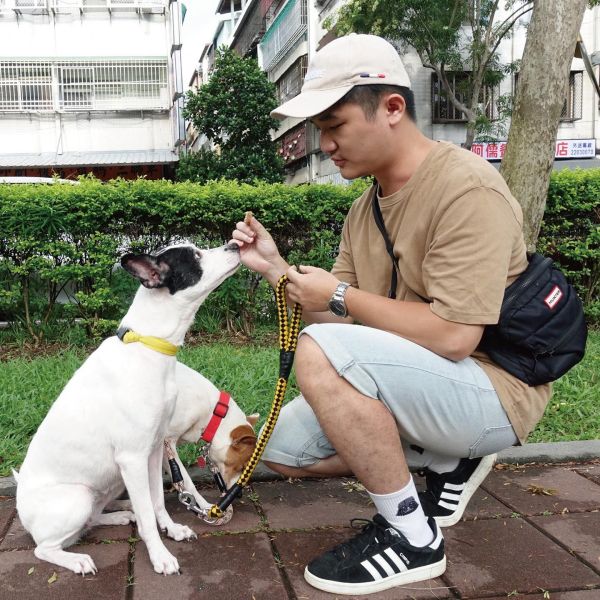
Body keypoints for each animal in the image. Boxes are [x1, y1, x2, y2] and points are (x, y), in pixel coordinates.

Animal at [14, 243, 239, 576]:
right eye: (196, 256)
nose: (236, 244)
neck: (149, 345)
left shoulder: (155, 450)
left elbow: (157, 500)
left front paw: (171, 529)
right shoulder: (133, 458)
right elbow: (147, 515)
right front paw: (160, 556)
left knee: (93, 519)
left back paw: (120, 513)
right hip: (79, 496)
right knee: (45, 548)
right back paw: (77, 559)